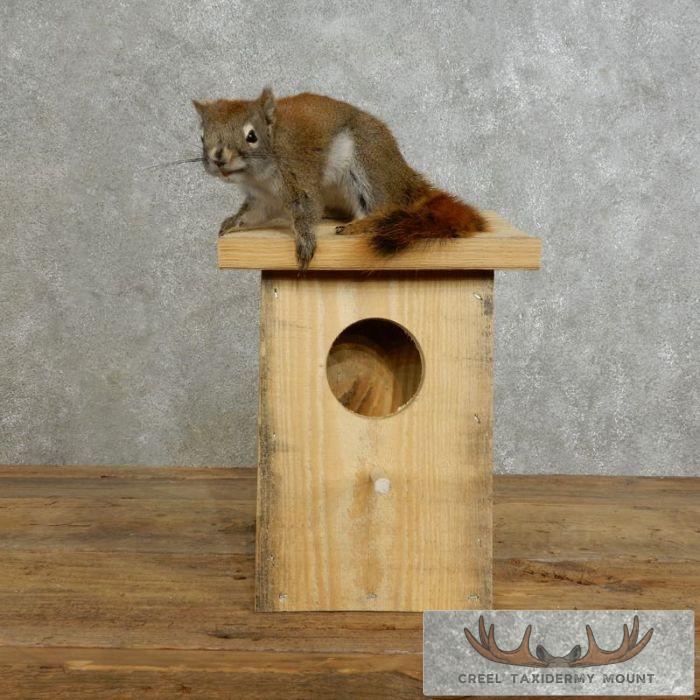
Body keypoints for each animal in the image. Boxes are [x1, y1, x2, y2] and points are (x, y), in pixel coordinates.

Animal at [194, 88, 485, 269]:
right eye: (202, 136)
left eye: (251, 136)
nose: (218, 158)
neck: (258, 176)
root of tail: (402, 178)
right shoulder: (263, 198)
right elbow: (254, 213)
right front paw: (231, 223)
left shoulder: (298, 175)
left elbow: (306, 209)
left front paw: (305, 240)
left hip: (366, 163)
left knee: (384, 208)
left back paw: (360, 225)